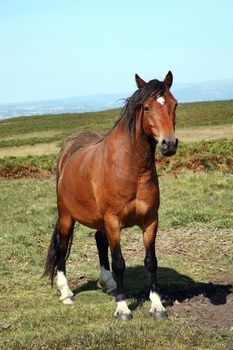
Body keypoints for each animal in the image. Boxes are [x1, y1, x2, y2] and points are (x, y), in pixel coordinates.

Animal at [44, 71, 178, 320]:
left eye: (174, 104)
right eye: (146, 107)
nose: (169, 144)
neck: (132, 169)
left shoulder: (150, 221)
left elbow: (151, 261)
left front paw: (157, 306)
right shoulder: (113, 221)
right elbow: (119, 262)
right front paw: (123, 308)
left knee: (99, 240)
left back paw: (109, 283)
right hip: (67, 216)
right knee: (62, 247)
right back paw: (66, 293)